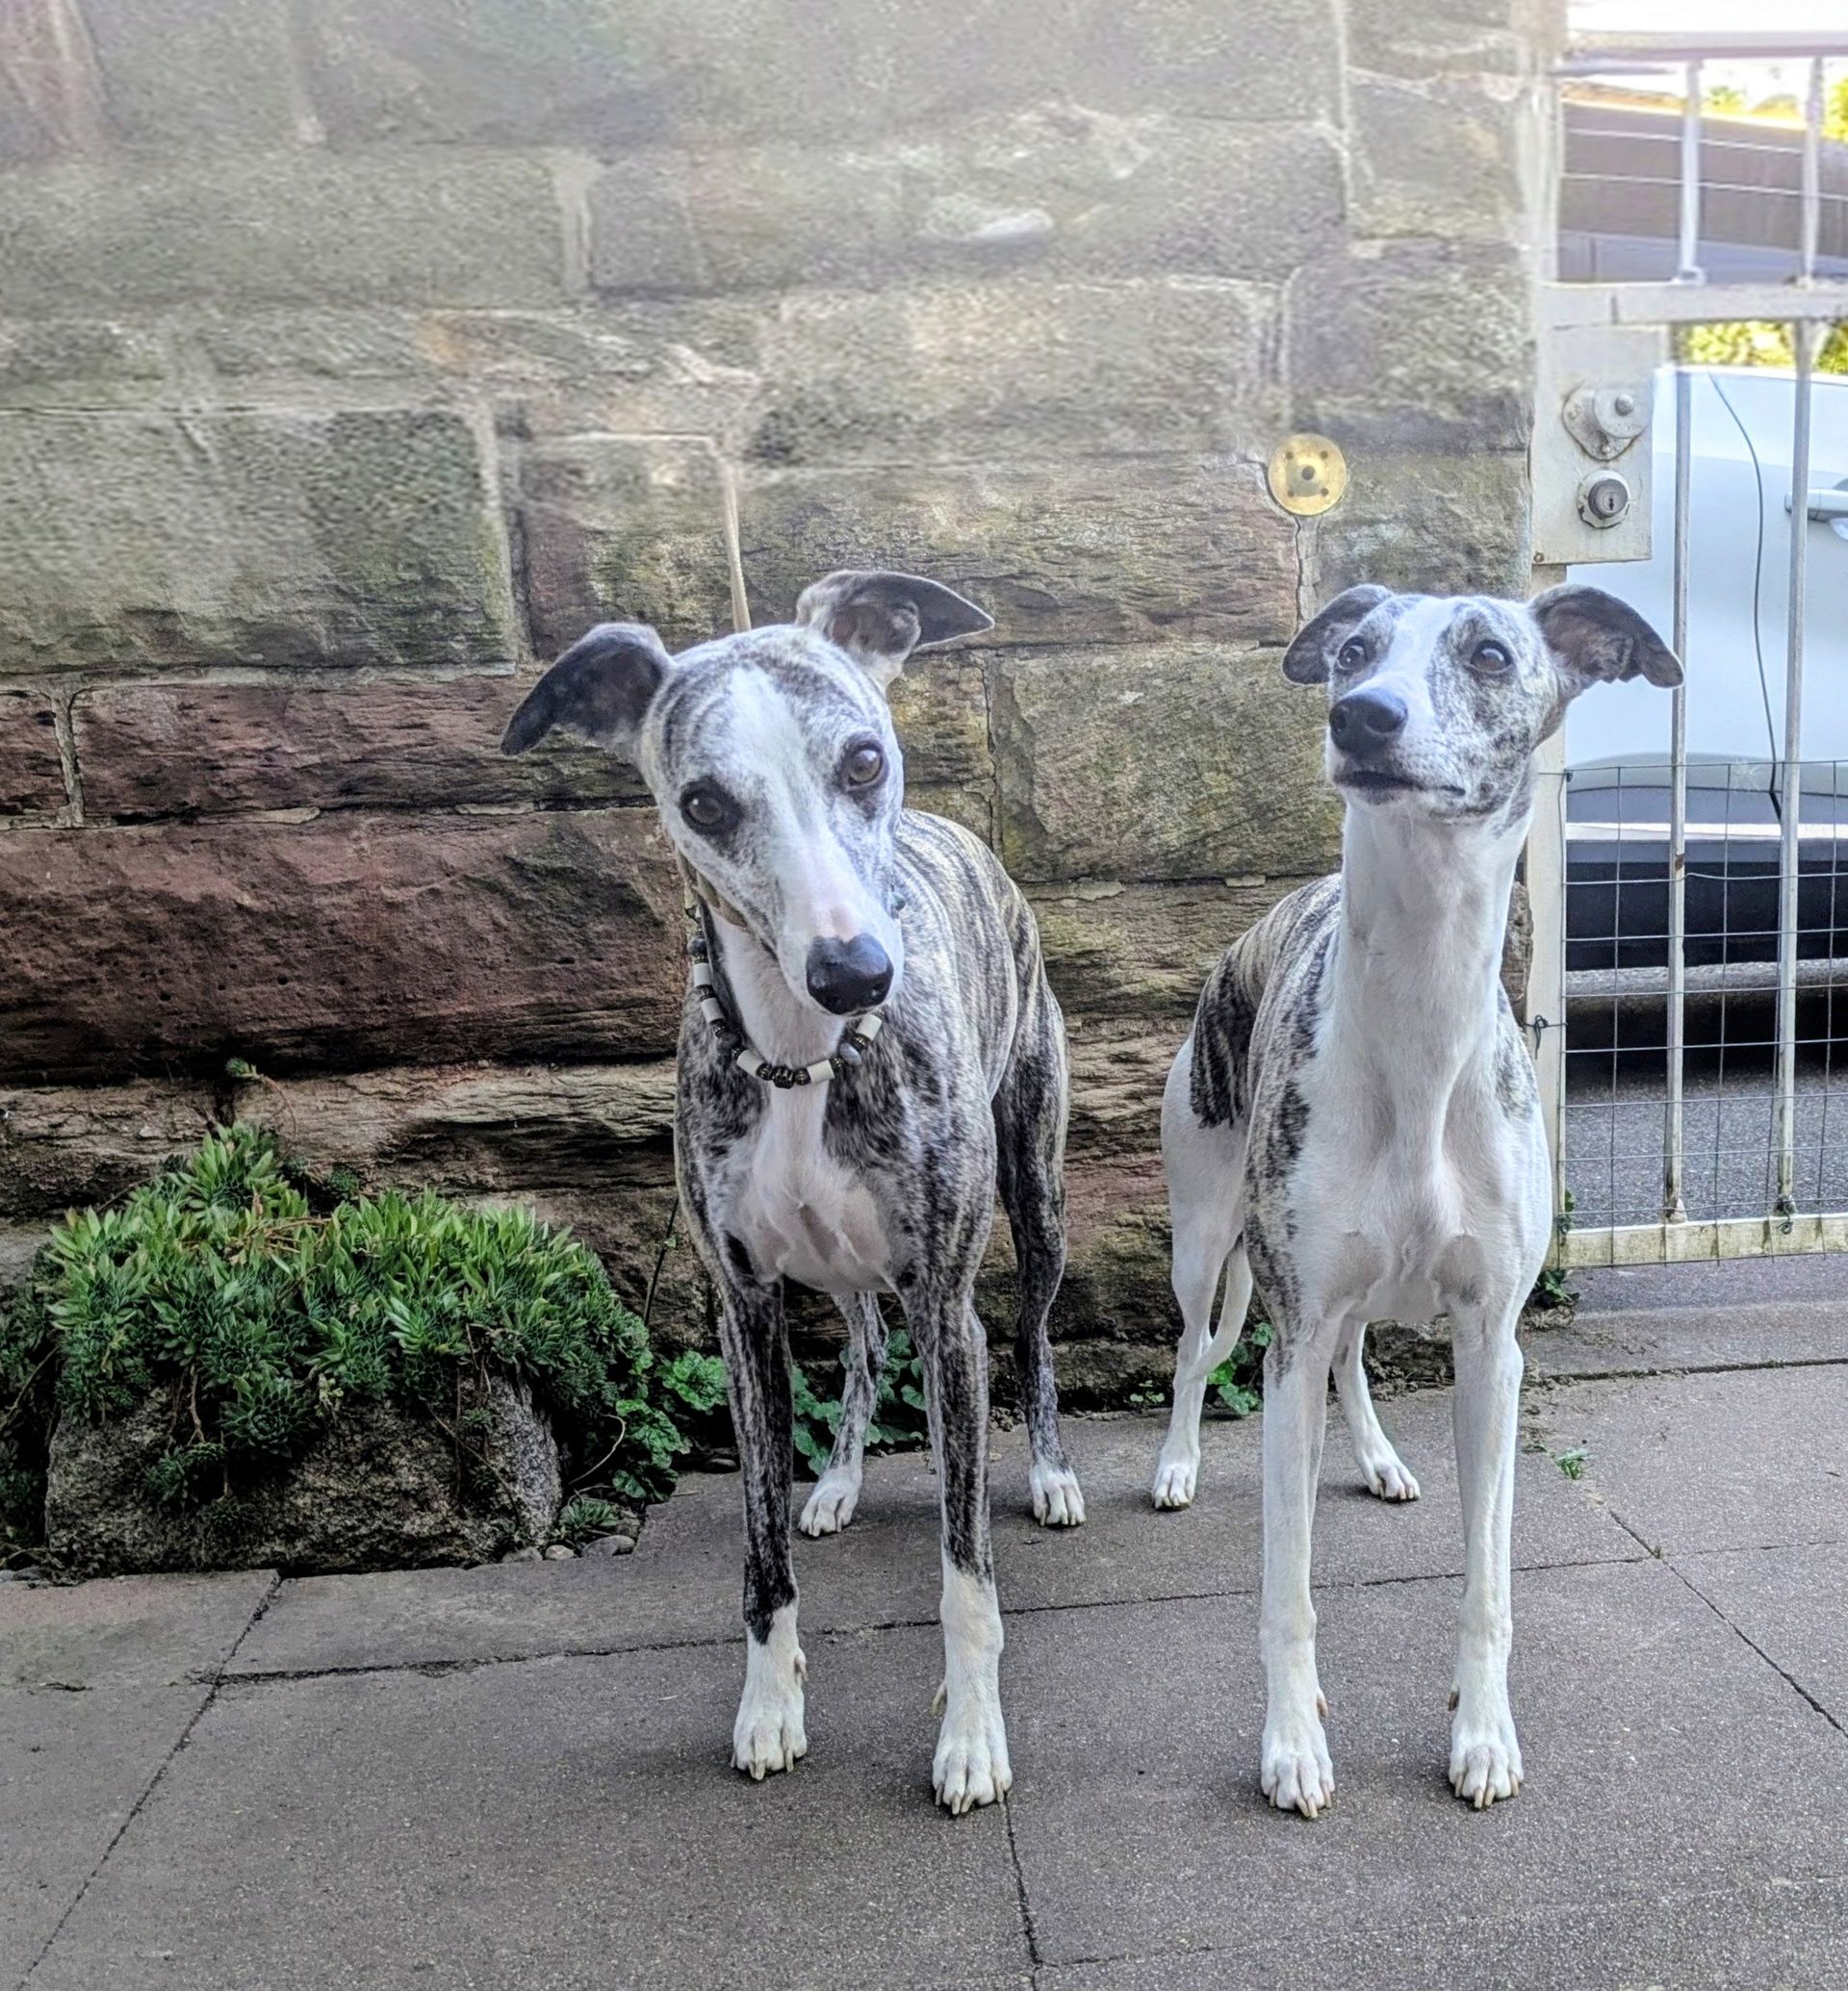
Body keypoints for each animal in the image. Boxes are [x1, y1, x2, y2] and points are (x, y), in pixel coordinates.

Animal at [501, 569, 1084, 1814]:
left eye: (862, 760)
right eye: (706, 801)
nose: (857, 972)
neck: (803, 1059)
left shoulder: (947, 1300)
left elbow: (966, 1568)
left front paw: (971, 1736)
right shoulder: (745, 1309)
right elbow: (759, 1550)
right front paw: (770, 1705)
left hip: (1037, 1193)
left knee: (1029, 1331)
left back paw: (1052, 1471)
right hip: (838, 1263)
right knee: (863, 1343)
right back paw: (842, 1478)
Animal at [1150, 583, 1681, 1815]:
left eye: (1488, 652)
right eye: (1354, 649)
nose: (1361, 716)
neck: (1416, 1028)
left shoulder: (1491, 1345)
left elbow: (1486, 1579)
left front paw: (1482, 1734)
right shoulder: (1290, 1334)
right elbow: (1287, 1582)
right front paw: (1292, 1743)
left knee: (1351, 1360)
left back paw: (1382, 1459)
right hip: (1209, 1243)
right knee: (1196, 1355)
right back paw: (1179, 1463)